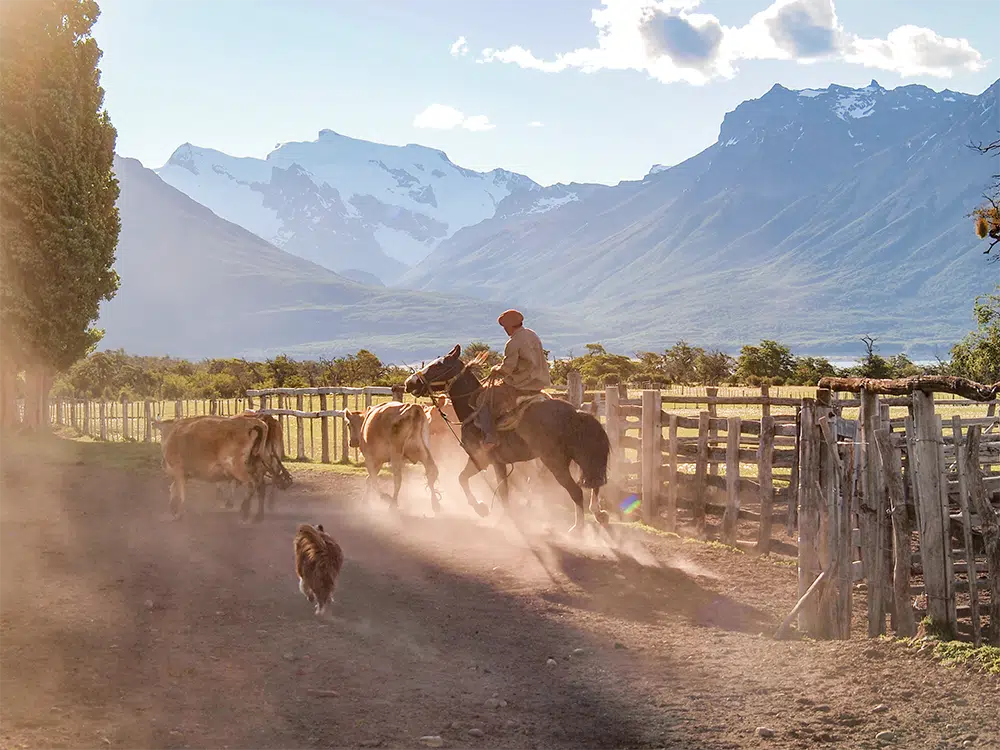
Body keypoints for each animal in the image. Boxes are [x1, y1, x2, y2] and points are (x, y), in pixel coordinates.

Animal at [155, 412, 290, 524]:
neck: (171, 433)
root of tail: (257, 422)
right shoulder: (183, 475)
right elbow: (173, 489)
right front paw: (173, 509)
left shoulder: (178, 471)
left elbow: (180, 493)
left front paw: (179, 513)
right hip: (259, 467)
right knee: (261, 487)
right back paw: (258, 516)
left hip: (237, 467)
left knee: (251, 485)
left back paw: (244, 512)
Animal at [404, 346, 608, 536]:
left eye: (438, 365)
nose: (409, 383)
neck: (472, 411)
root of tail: (576, 413)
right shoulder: (491, 462)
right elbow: (467, 480)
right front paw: (485, 509)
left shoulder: (485, 460)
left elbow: (496, 491)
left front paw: (492, 514)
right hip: (579, 456)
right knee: (593, 482)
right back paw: (598, 513)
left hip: (555, 462)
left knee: (576, 491)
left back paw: (577, 528)